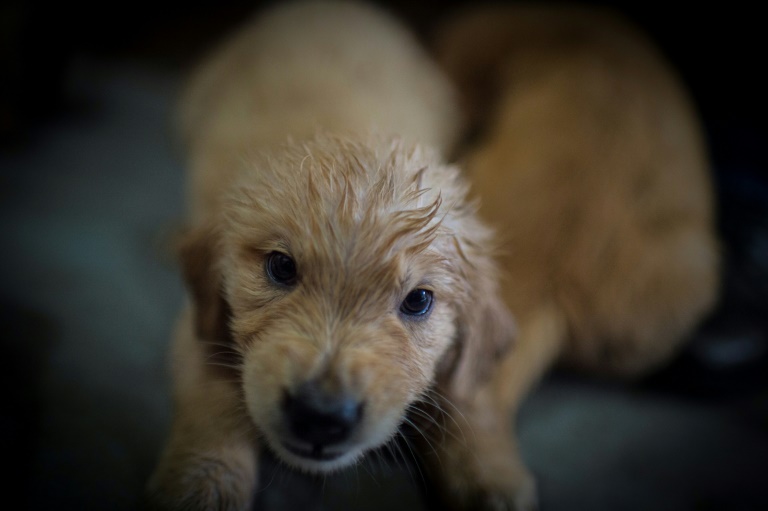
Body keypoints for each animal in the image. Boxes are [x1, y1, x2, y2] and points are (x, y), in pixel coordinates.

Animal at [147, 2, 512, 510]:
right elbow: (212, 396)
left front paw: (490, 473)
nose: (320, 416)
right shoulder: (199, 324)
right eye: (281, 267)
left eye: (418, 300)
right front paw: (203, 484)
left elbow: (470, 391)